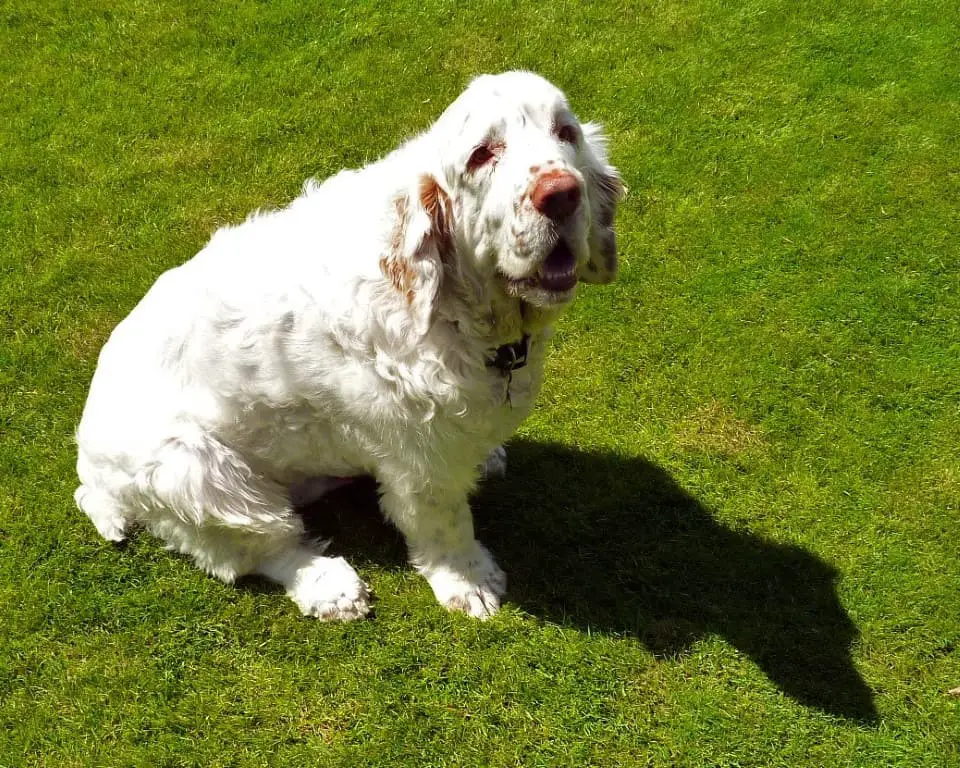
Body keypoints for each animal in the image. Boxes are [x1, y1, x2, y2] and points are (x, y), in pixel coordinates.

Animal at [79, 72, 628, 620]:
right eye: (481, 155)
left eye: (566, 133)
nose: (561, 194)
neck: (451, 304)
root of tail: (89, 469)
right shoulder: (419, 460)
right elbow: (444, 523)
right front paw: (469, 582)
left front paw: (487, 455)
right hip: (200, 475)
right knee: (256, 547)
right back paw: (330, 587)